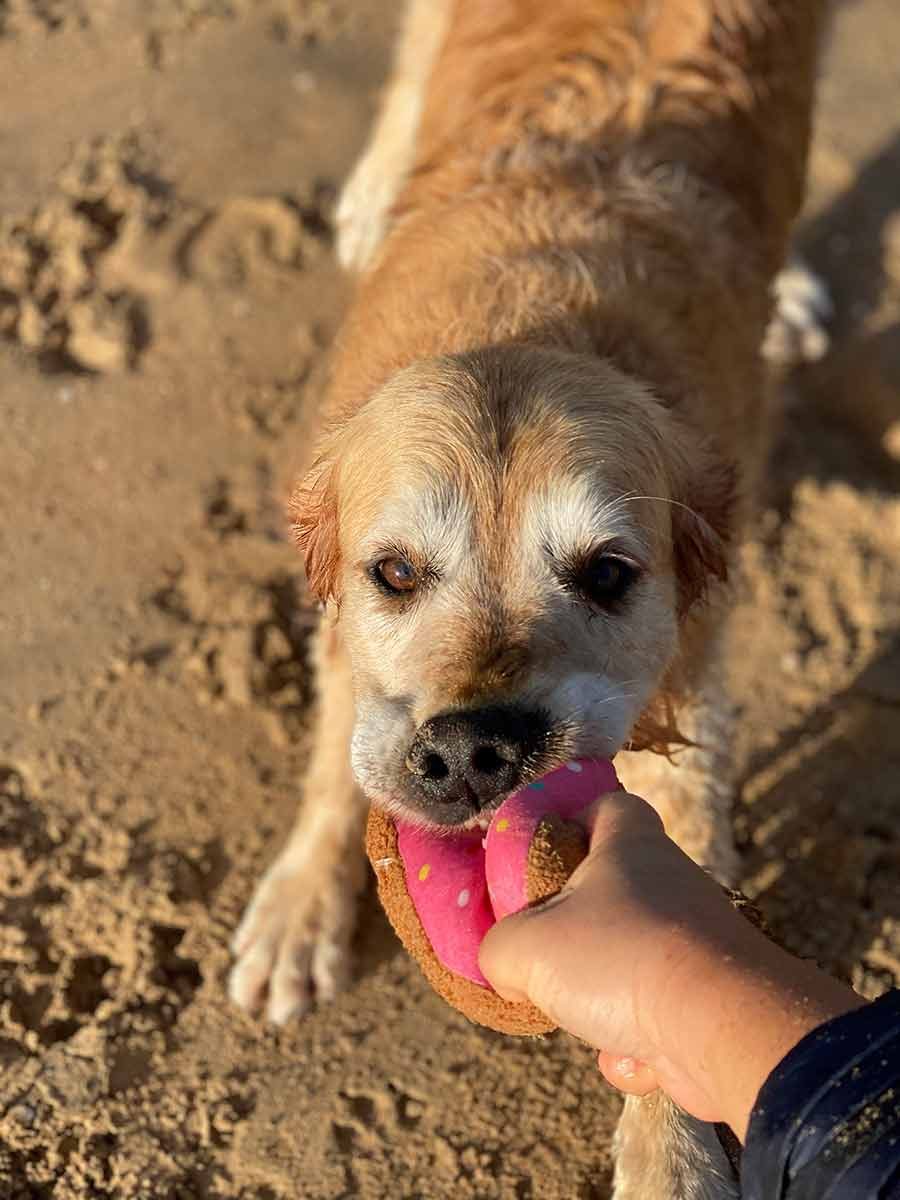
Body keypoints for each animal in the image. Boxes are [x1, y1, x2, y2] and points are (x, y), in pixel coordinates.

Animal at [230, 4, 830, 1195]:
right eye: (395, 572)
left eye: (607, 573)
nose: (471, 752)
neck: (542, 307)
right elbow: (334, 748)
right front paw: (299, 905)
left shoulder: (691, 695)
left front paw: (669, 1158)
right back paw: (374, 187)